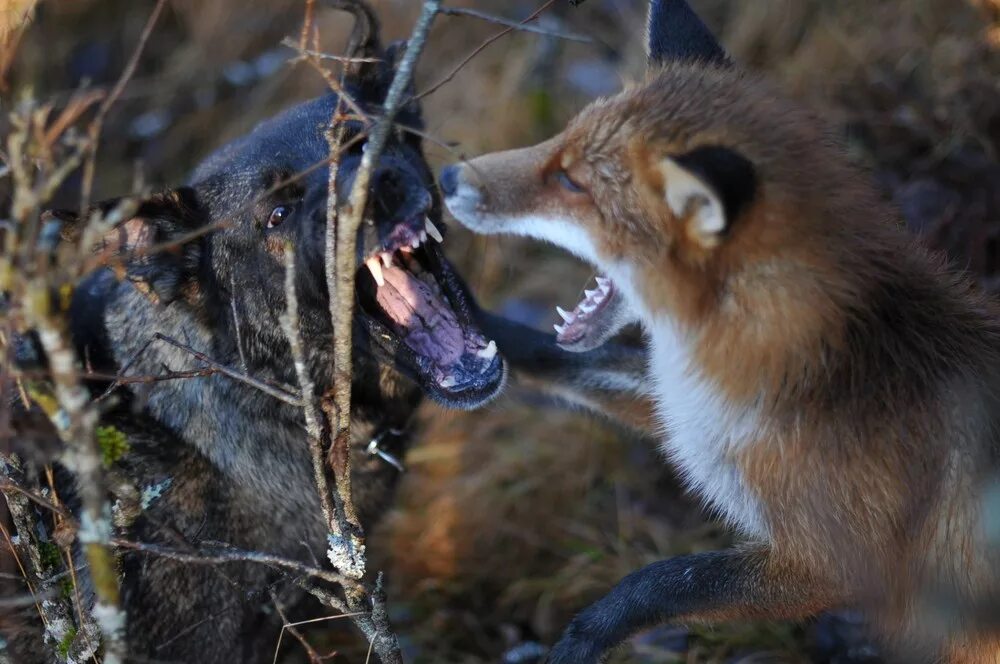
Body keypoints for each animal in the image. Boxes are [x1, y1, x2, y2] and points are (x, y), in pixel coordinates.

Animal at [442, 1, 1000, 664]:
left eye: (572, 182)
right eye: (559, 138)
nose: (445, 177)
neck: (804, 368)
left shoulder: (830, 562)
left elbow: (660, 581)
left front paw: (583, 638)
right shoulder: (686, 419)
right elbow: (551, 359)